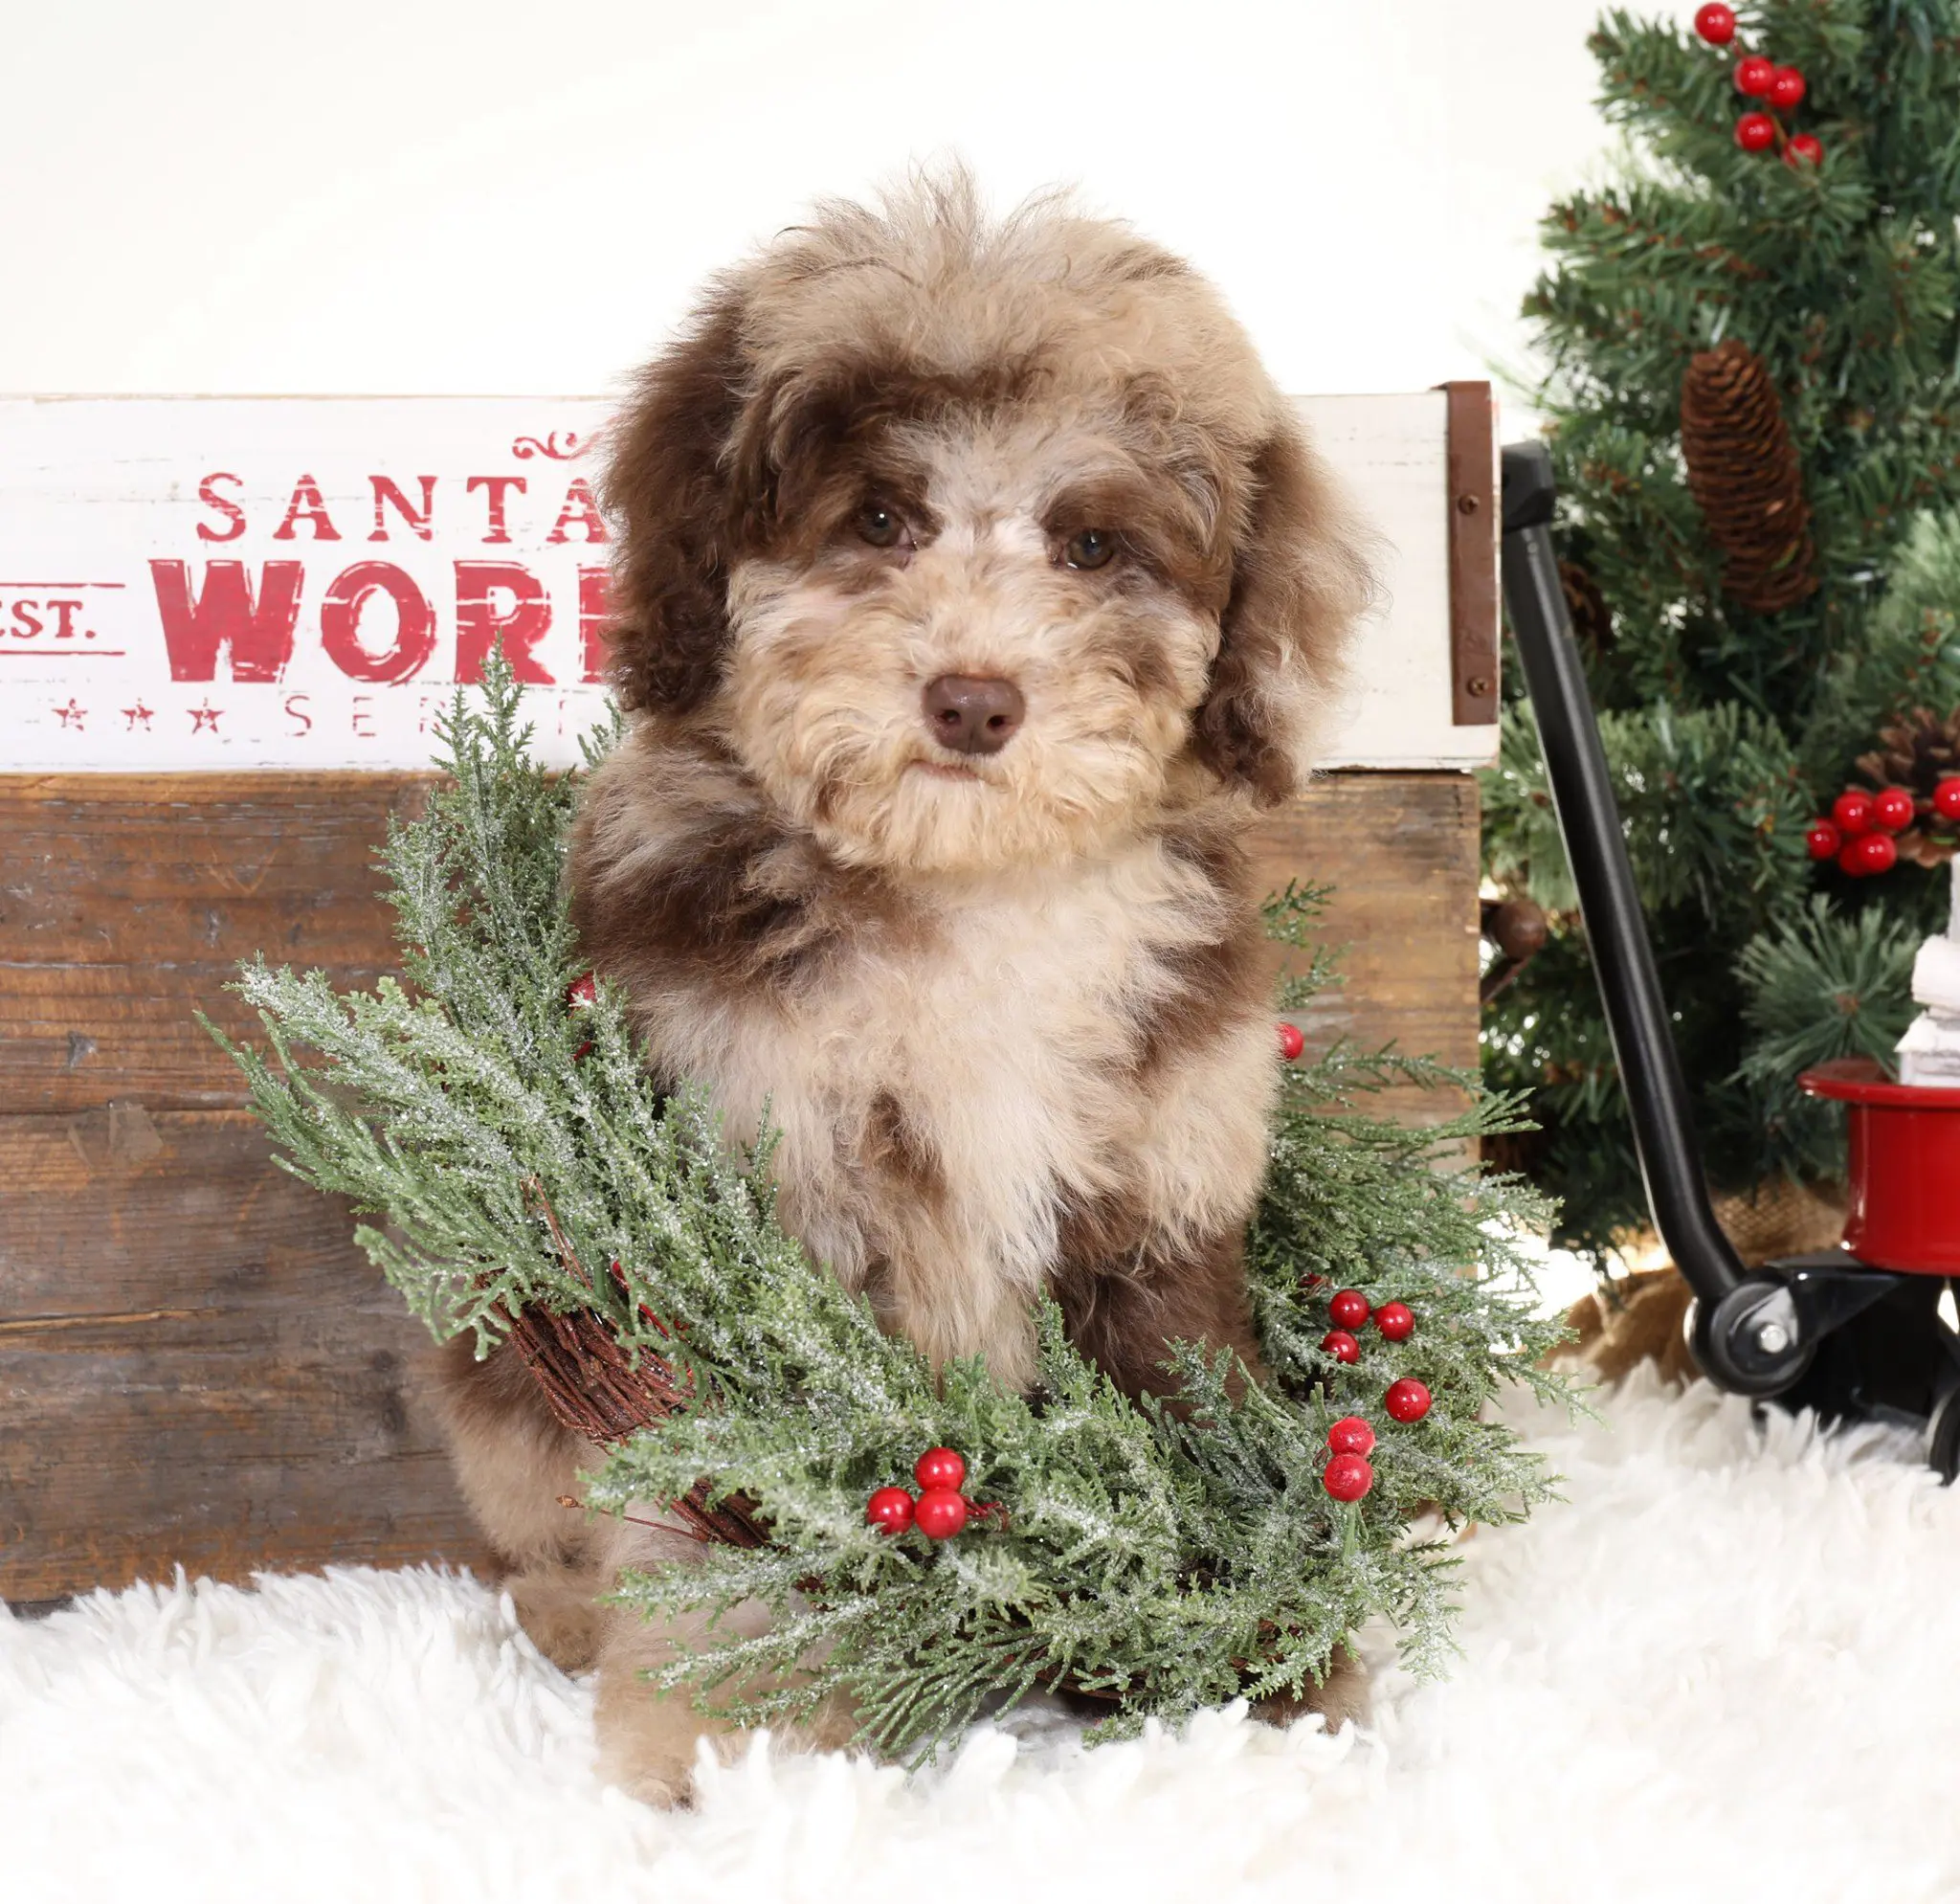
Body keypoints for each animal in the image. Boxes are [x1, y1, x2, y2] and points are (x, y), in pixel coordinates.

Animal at [436, 168, 1371, 1803]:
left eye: (1091, 546)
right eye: (880, 518)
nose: (974, 701)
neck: (967, 888)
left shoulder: (1163, 1182)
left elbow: (1191, 1416)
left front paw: (1264, 1647)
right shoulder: (751, 1210)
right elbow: (731, 1515)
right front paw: (725, 1717)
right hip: (509, 1367)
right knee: (544, 1512)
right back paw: (561, 1614)